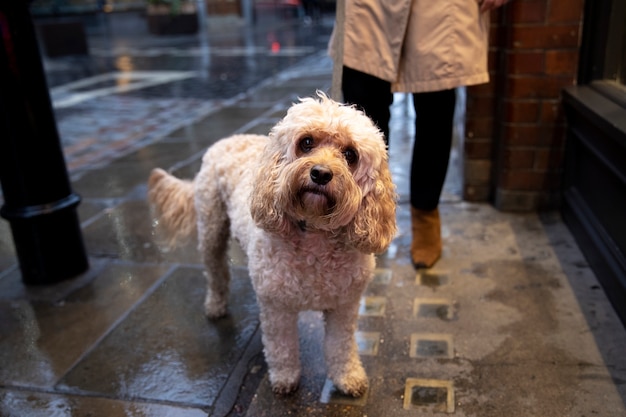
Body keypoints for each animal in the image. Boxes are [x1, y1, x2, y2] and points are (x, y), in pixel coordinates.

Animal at [146, 92, 394, 396]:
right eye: (306, 143)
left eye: (350, 155)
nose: (321, 173)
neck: (315, 234)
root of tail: (227, 139)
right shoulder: (277, 308)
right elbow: (281, 348)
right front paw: (285, 379)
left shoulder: (344, 307)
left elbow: (341, 347)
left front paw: (348, 377)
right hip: (211, 231)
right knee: (216, 273)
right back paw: (216, 306)